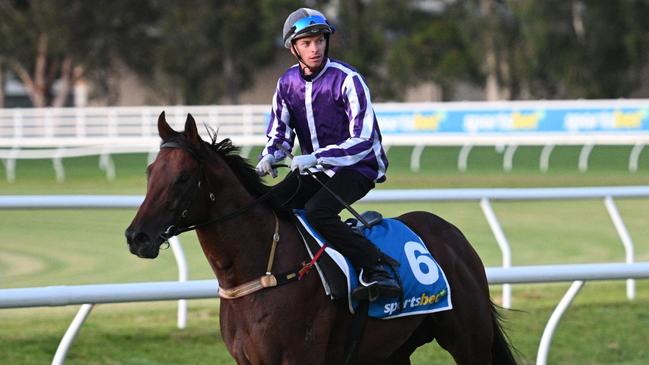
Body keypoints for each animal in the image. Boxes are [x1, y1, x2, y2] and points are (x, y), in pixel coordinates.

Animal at [124, 112, 512, 362]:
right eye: (149, 172)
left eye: (183, 178)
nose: (136, 237)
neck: (264, 271)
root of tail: (451, 234)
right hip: (393, 350)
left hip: (469, 340)